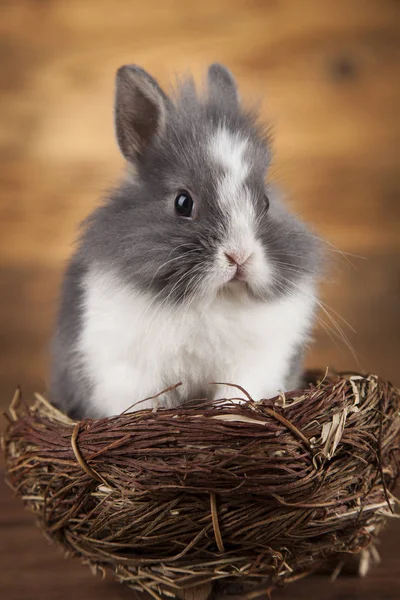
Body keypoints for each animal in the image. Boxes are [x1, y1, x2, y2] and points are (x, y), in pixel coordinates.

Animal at [51, 62, 324, 418]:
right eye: (183, 202)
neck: (212, 299)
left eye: (265, 202)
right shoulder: (129, 371)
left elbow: (237, 396)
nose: (240, 256)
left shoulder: (255, 364)